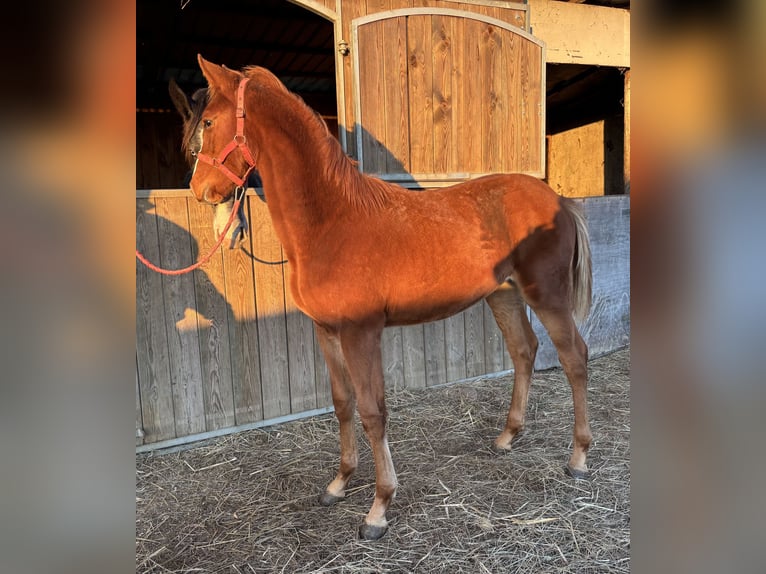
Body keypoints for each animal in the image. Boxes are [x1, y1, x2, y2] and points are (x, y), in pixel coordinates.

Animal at [184, 55, 593, 540]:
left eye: (209, 121)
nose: (199, 190)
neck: (331, 221)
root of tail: (558, 199)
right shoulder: (327, 331)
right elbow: (342, 404)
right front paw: (339, 483)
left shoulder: (361, 333)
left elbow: (372, 411)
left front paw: (378, 508)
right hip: (505, 295)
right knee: (524, 351)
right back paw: (507, 437)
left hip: (547, 294)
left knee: (573, 357)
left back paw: (578, 458)